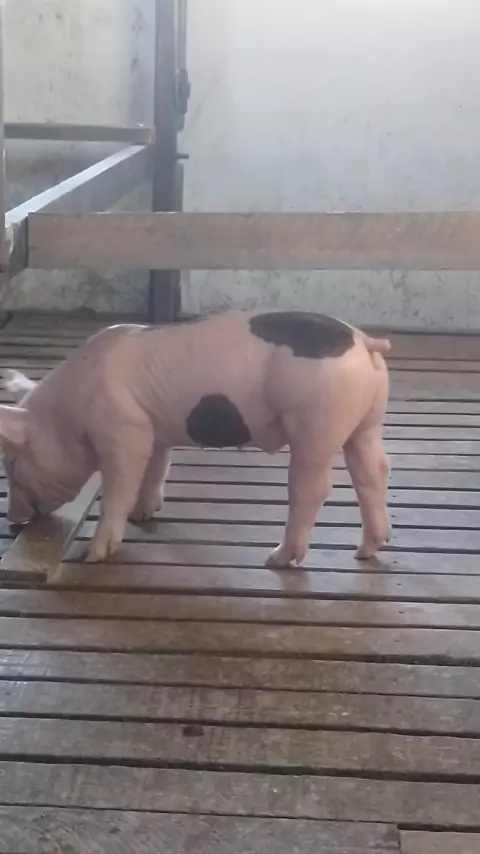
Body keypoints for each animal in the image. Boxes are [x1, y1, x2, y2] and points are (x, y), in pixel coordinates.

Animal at [0, 310, 391, 567]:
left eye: (13, 462)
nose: (13, 520)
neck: (67, 414)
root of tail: (363, 341)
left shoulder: (125, 431)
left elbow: (117, 490)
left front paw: (93, 556)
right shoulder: (153, 429)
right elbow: (155, 469)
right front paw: (143, 515)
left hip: (315, 422)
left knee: (312, 488)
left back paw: (277, 559)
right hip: (365, 422)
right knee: (374, 471)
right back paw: (367, 550)